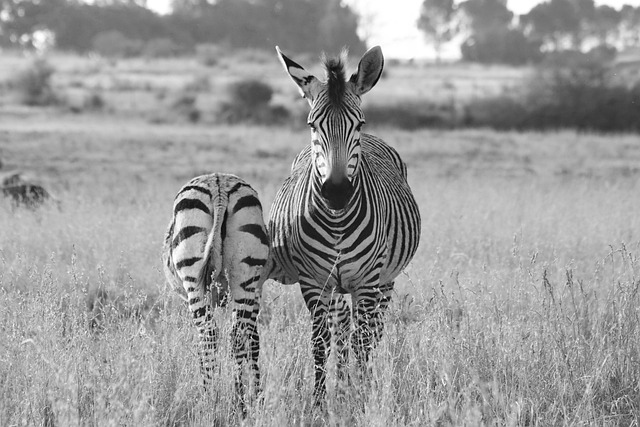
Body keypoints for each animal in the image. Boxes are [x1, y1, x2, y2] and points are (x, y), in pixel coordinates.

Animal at [162, 174, 270, 408]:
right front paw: (257, 395)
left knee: (208, 333)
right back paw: (239, 401)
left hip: (193, 278)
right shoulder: (253, 293)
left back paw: (209, 398)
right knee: (237, 335)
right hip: (244, 274)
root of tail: (219, 185)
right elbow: (253, 340)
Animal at [268, 46, 422, 402]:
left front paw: (362, 397)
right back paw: (342, 383)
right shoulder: (314, 281)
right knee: (340, 330)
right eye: (312, 125)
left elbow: (362, 343)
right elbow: (320, 341)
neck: (337, 222)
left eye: (359, 124)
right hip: (337, 287)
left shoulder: (367, 281)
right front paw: (321, 401)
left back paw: (360, 383)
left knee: (371, 332)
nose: (337, 193)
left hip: (384, 281)